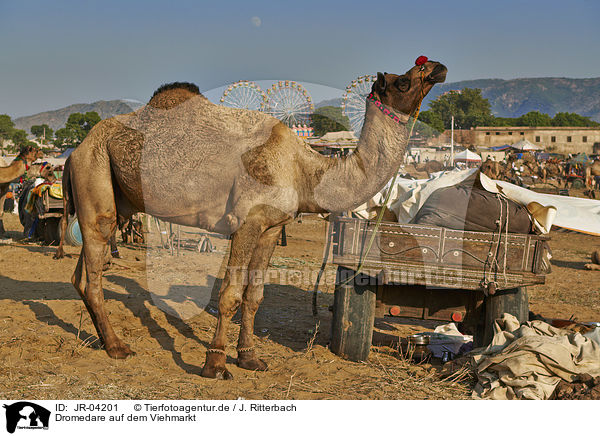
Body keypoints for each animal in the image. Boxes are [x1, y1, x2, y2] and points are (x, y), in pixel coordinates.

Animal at [62, 58, 446, 378]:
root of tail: (74, 151)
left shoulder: (272, 227)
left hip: (113, 195)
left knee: (81, 275)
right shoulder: (246, 222)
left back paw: (104, 339)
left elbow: (255, 296)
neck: (304, 169)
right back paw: (117, 347)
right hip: (95, 177)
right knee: (94, 269)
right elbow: (230, 295)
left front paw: (249, 358)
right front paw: (215, 364)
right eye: (402, 80)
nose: (437, 68)